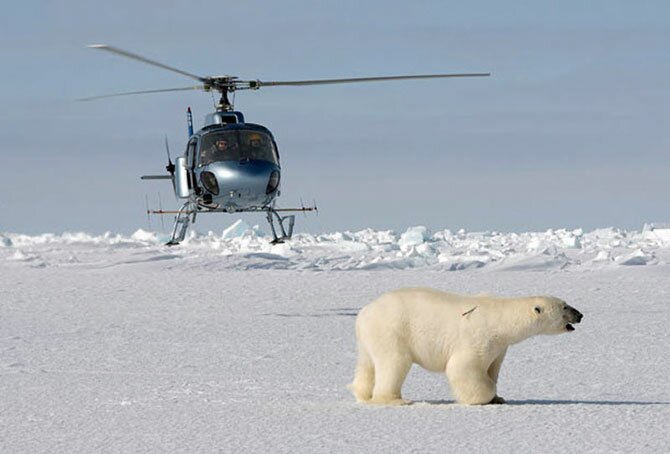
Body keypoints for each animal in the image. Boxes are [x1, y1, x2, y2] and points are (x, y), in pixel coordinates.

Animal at [352, 288, 584, 404]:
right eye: (565, 307)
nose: (580, 314)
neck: (501, 319)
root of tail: (364, 312)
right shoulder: (479, 337)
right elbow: (463, 368)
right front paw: (484, 397)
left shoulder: (500, 347)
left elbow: (493, 368)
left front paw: (499, 398)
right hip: (392, 330)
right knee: (395, 361)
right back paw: (394, 400)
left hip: (369, 337)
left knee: (367, 363)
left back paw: (362, 393)